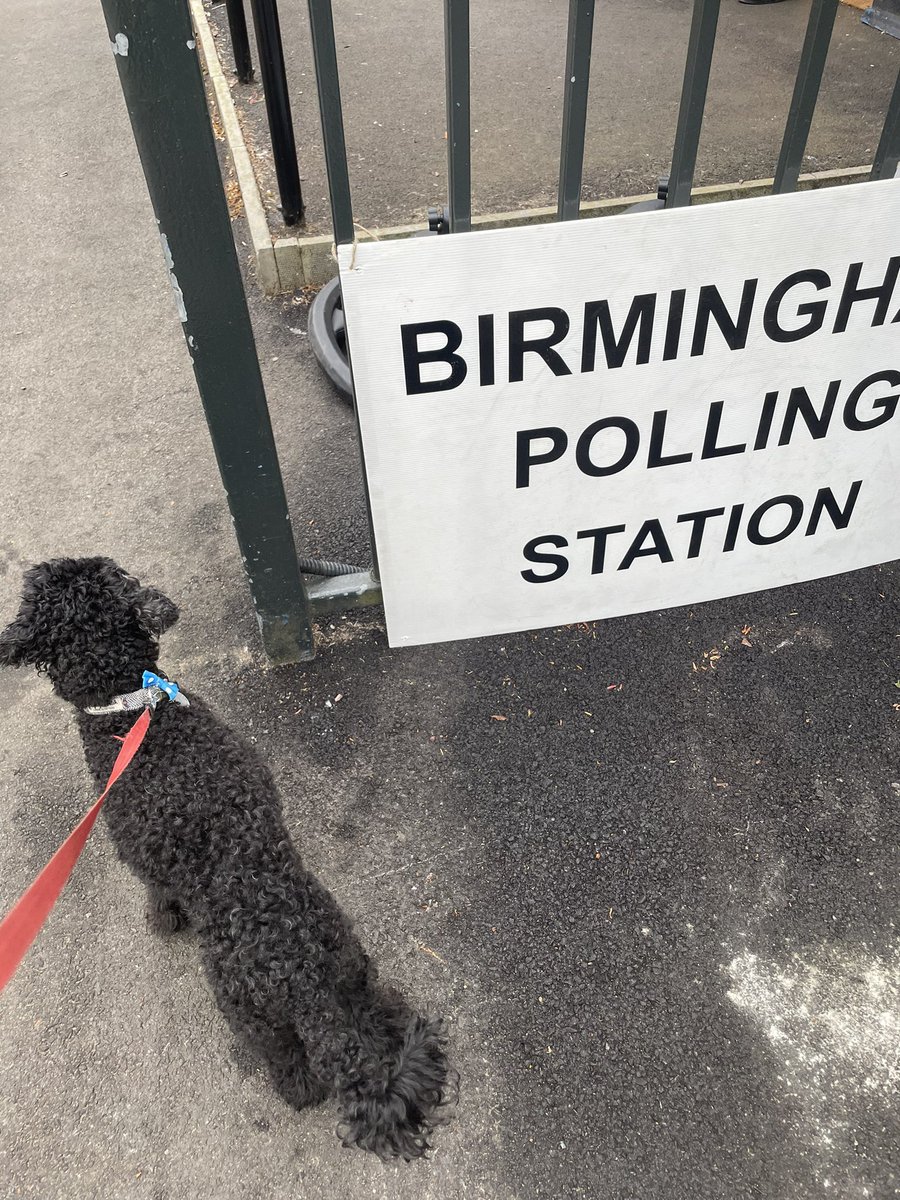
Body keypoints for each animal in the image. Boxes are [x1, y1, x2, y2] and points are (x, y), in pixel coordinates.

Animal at [0, 556, 451, 1156]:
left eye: (35, 589)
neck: (133, 708)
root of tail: (300, 976)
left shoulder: (137, 854)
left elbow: (158, 894)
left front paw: (161, 920)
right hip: (350, 965)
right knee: (379, 1010)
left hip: (251, 1017)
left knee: (293, 1069)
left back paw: (296, 1087)